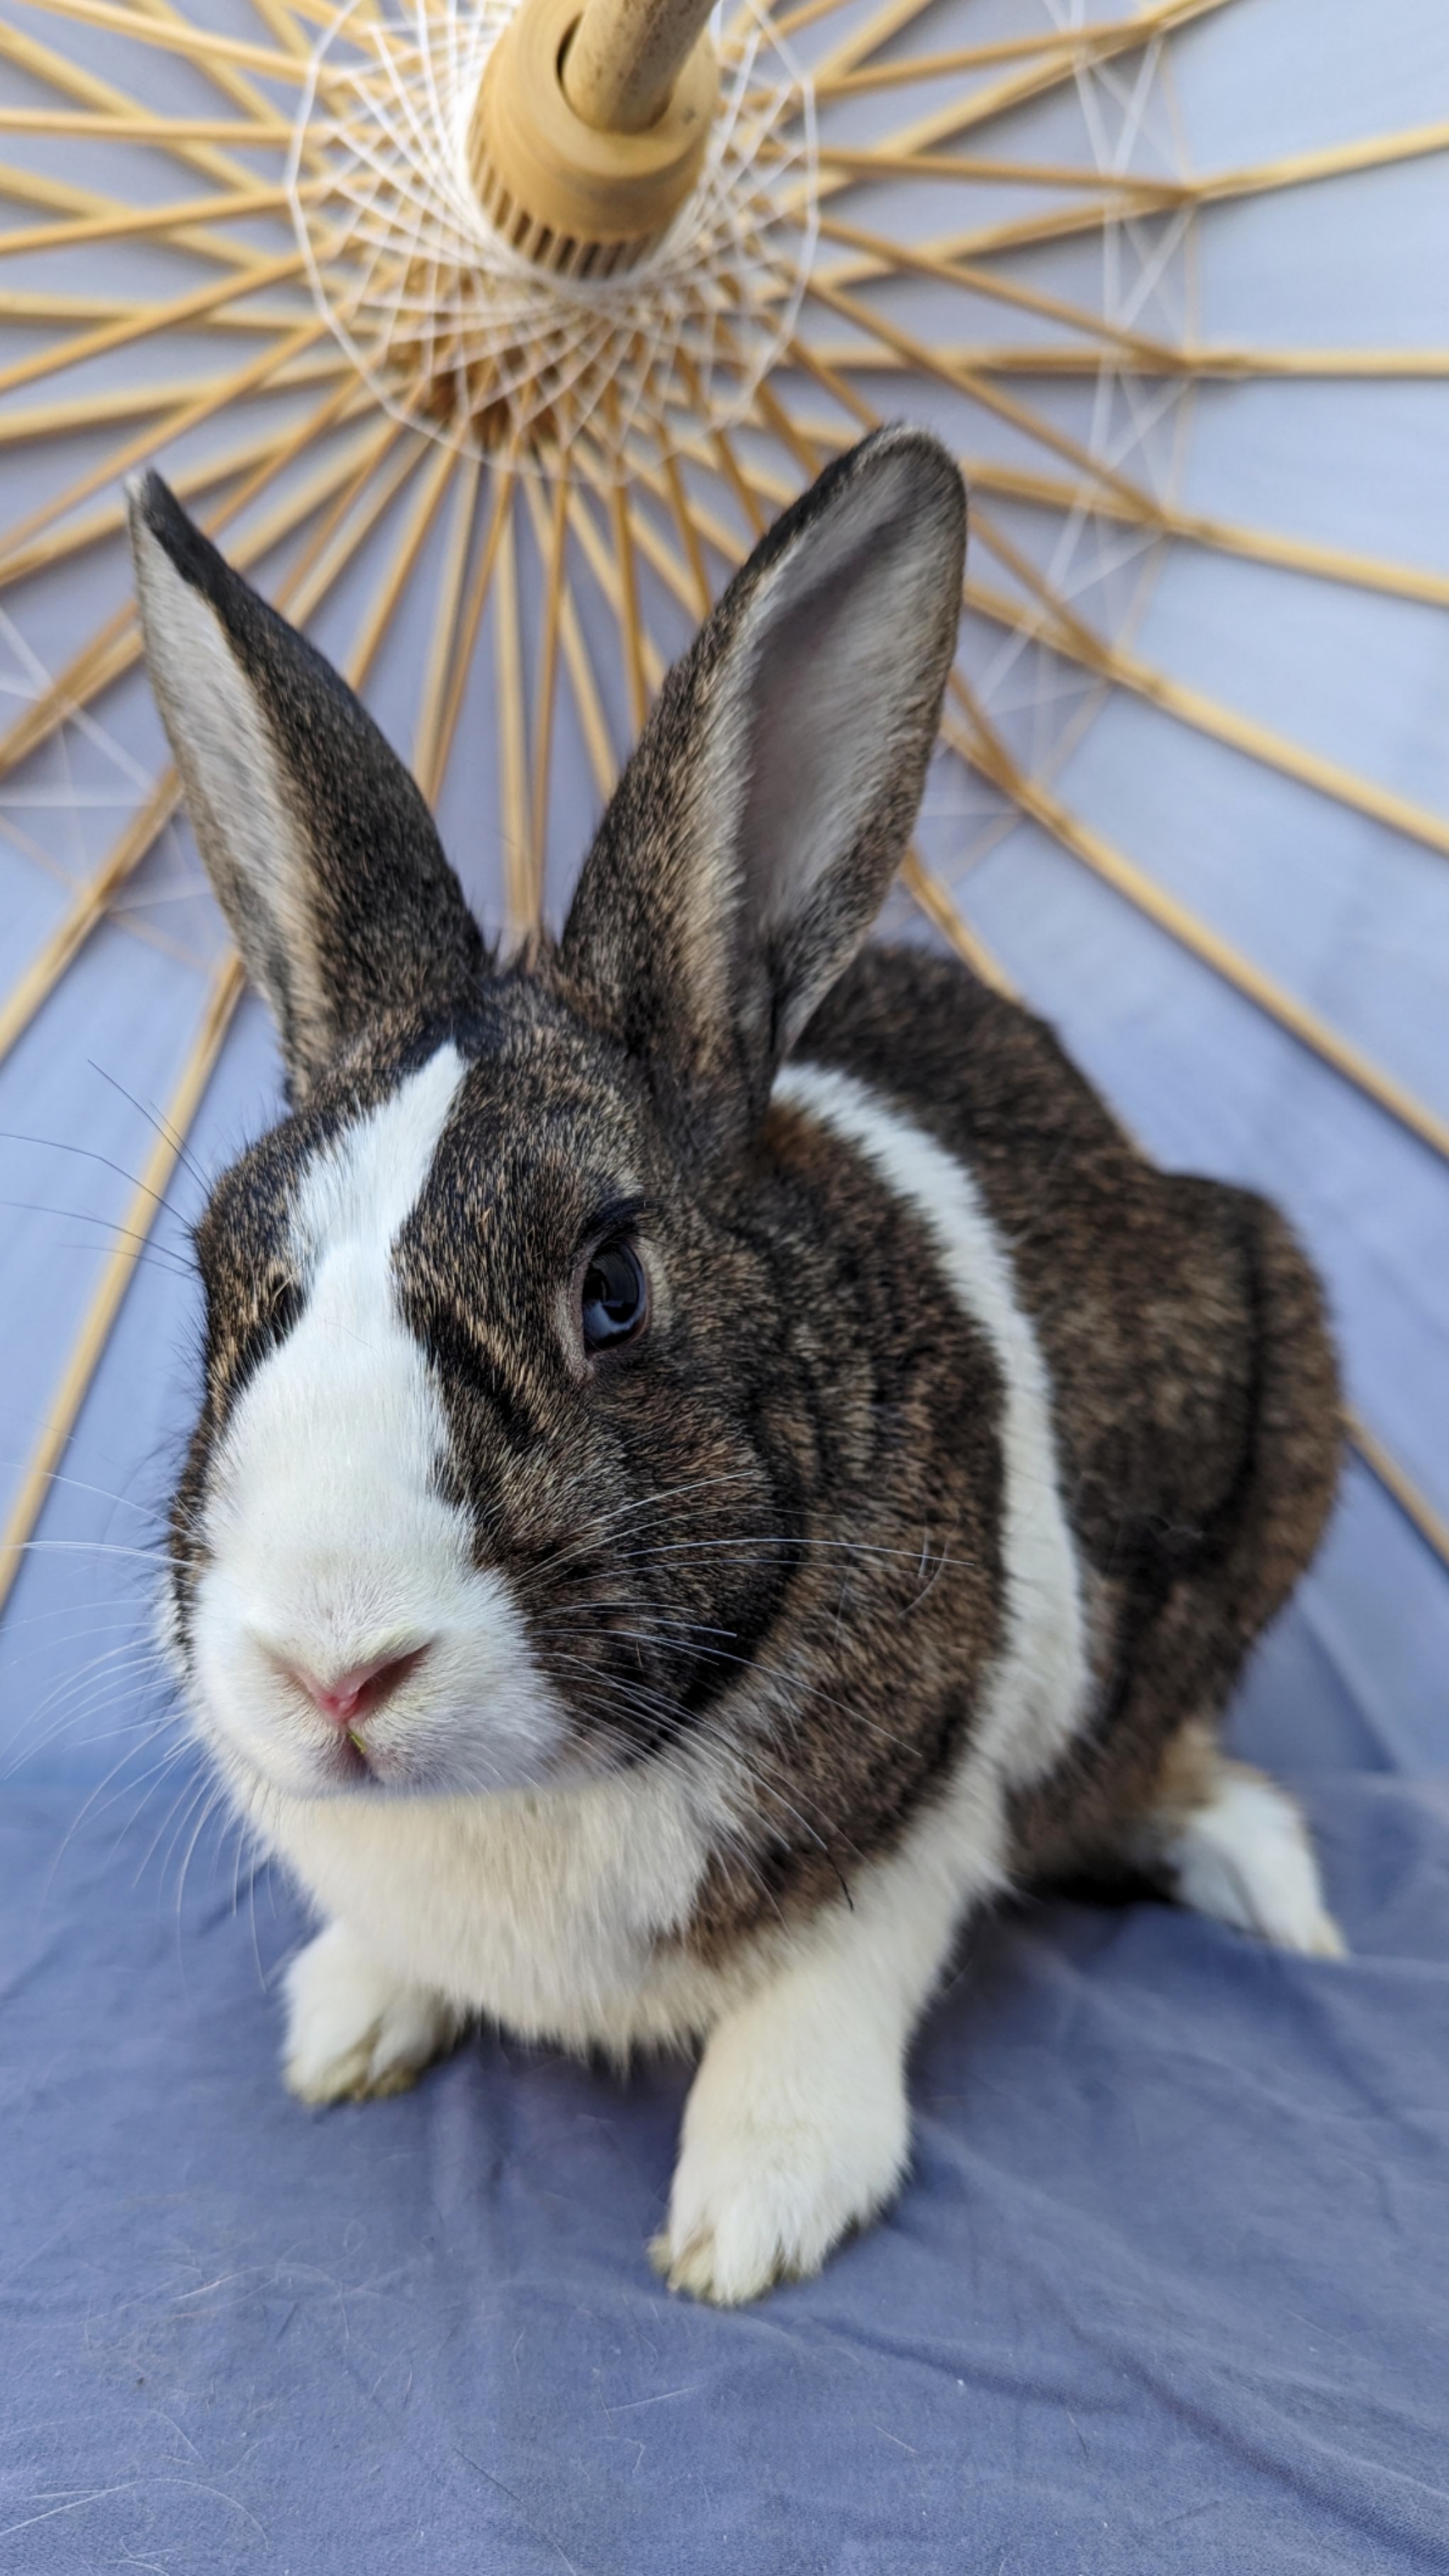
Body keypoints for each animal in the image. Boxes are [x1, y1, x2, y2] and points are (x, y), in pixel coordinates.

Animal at [127, 426, 1344, 2307]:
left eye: (612, 1292)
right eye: (226, 1279)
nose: (332, 1671)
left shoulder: (924, 1818)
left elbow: (829, 1993)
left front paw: (752, 2216)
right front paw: (345, 2032)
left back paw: (1264, 1880)